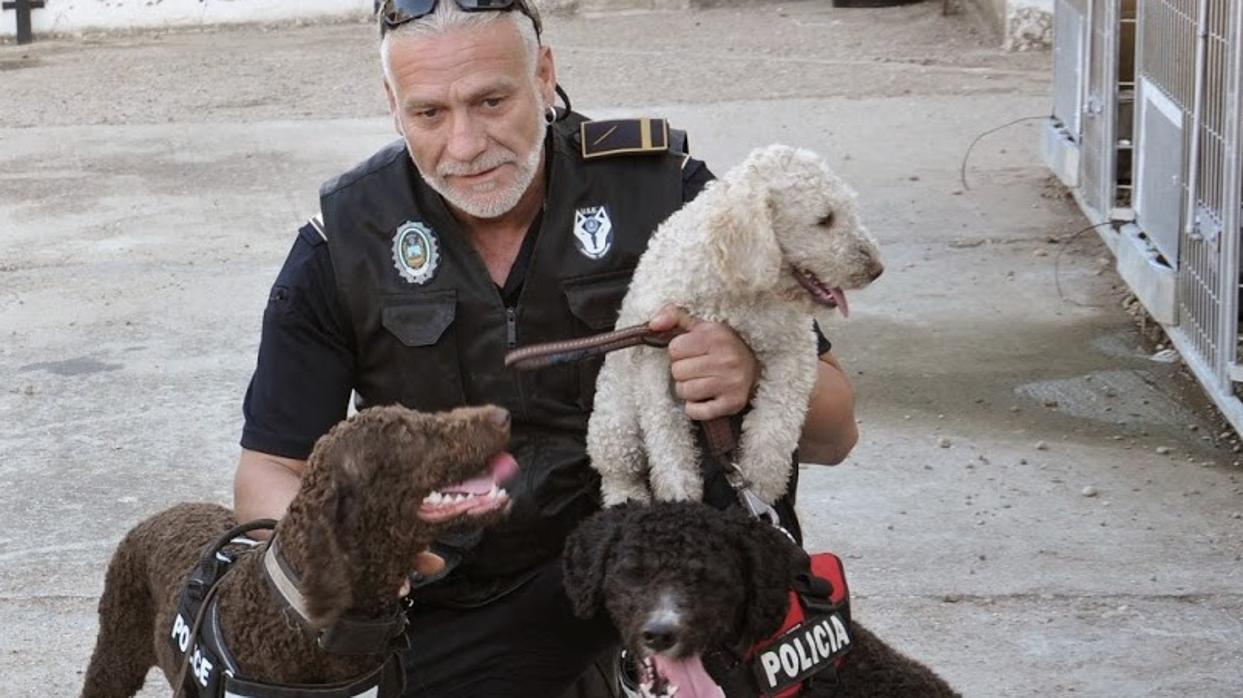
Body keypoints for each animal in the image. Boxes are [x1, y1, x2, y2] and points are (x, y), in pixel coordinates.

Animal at [586, 144, 880, 509]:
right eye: (825, 219)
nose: (877, 268)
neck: (737, 283)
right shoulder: (655, 351)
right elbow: (665, 428)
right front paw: (678, 490)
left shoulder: (793, 349)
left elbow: (778, 417)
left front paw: (763, 479)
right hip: (615, 418)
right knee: (618, 468)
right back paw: (627, 496)